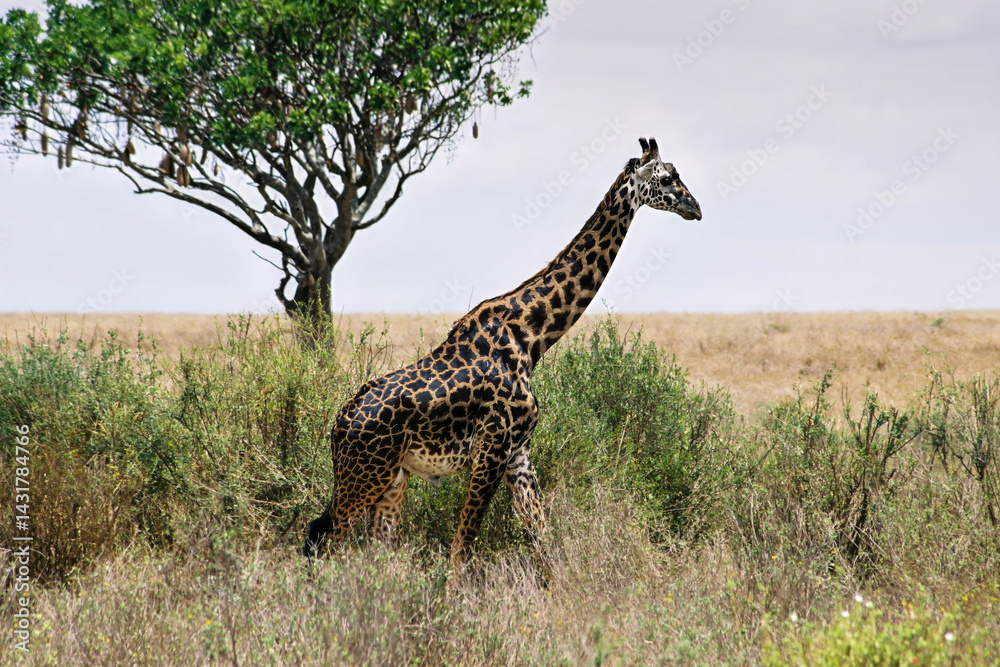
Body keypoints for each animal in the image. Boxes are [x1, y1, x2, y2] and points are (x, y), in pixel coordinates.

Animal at [304, 137, 702, 565]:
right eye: (668, 178)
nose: (695, 208)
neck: (532, 335)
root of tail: (337, 428)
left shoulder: (518, 452)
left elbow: (541, 535)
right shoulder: (492, 449)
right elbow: (463, 546)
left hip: (392, 479)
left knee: (374, 549)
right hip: (366, 476)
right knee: (322, 537)